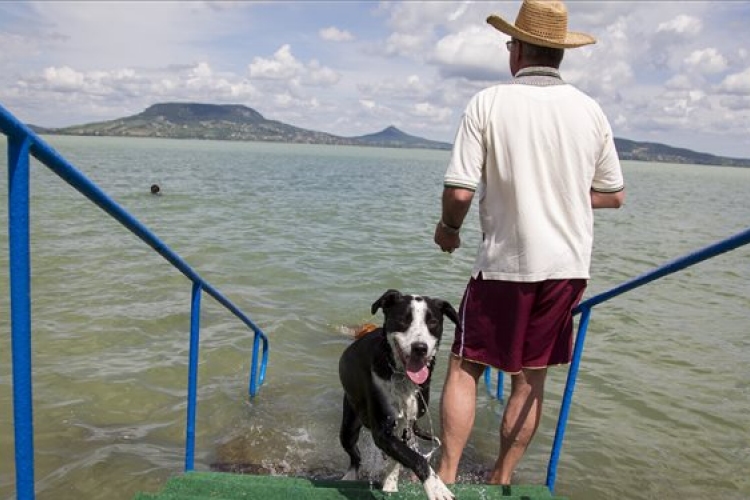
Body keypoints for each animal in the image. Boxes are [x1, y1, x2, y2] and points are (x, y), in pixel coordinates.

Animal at [340, 290, 458, 500]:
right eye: (403, 320)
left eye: (433, 322)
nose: (420, 348)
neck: (401, 376)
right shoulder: (382, 431)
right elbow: (417, 458)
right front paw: (436, 487)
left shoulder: (406, 422)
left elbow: (401, 456)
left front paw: (390, 482)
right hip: (349, 421)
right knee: (354, 454)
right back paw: (350, 475)